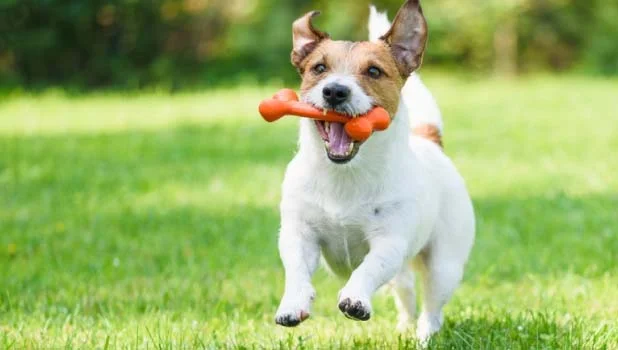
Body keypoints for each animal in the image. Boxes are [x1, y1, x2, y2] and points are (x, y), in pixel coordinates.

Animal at [272, 0, 474, 342]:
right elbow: (296, 269)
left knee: (432, 309)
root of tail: (429, 140)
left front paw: (355, 298)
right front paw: (292, 304)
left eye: (374, 71)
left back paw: (422, 338)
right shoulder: (299, 234)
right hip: (404, 273)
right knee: (407, 295)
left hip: (443, 265)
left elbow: (369, 268)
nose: (335, 91)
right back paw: (404, 327)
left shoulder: (390, 242)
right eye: (319, 68)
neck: (345, 175)